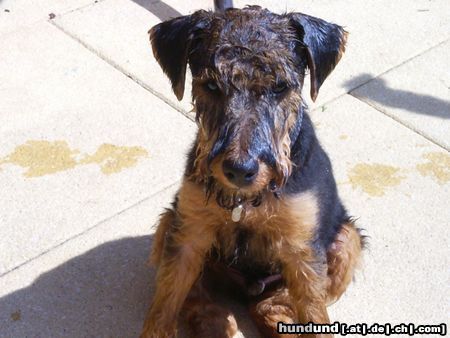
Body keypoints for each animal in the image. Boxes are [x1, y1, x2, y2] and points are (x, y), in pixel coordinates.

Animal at [141, 4, 366, 338]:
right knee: (199, 298)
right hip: (171, 223)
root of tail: (246, 290)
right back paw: (216, 323)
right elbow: (165, 305)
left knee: (273, 304)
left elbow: (313, 311)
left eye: (280, 87)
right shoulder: (189, 233)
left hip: (346, 241)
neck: (245, 202)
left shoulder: (302, 250)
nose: (239, 171)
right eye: (211, 86)